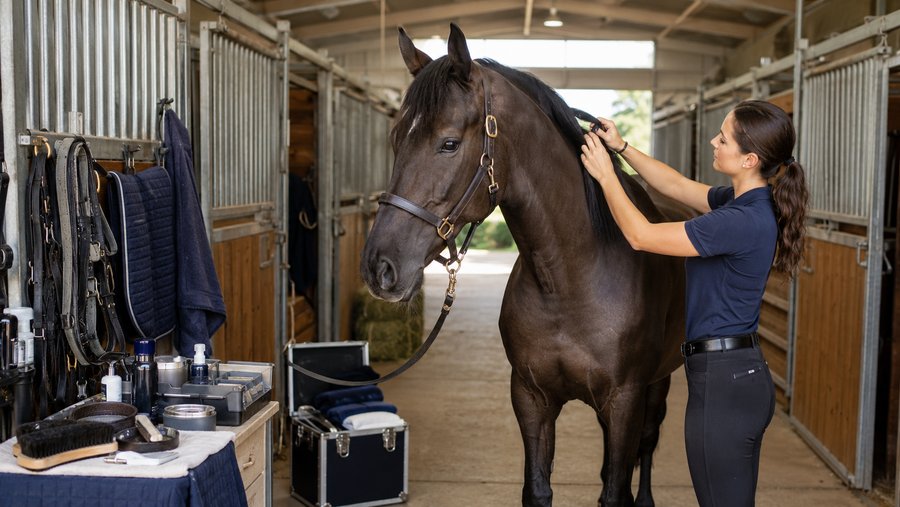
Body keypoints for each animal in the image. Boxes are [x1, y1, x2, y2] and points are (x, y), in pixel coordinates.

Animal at [360, 23, 695, 507]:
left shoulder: (625, 400)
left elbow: (617, 487)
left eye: (449, 143)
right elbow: (539, 488)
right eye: (394, 139)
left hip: (659, 382)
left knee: (647, 444)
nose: (378, 267)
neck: (569, 278)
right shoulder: (531, 398)